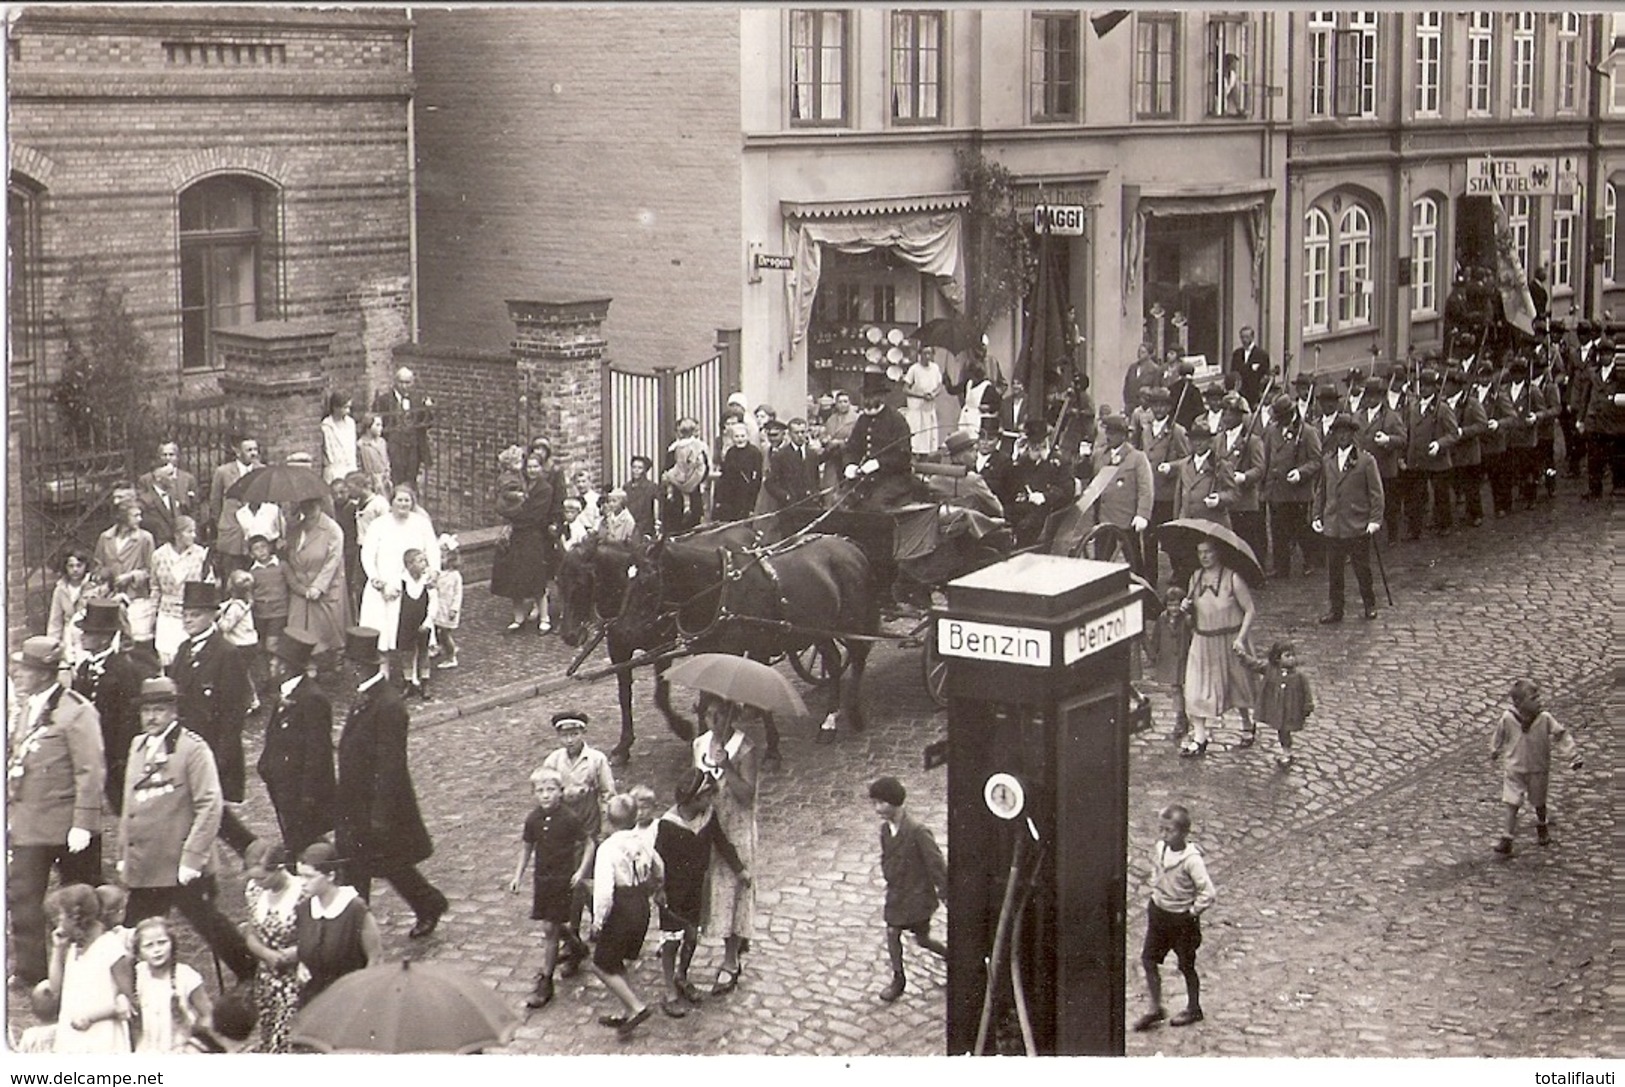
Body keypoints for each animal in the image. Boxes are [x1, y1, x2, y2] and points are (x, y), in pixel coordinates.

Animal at [555, 523, 884, 763]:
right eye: (558, 580)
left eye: (582, 582)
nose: (569, 635)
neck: (716, 589)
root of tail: (849, 544)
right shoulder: (630, 650)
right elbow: (633, 697)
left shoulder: (676, 646)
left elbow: (670, 696)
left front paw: (769, 748)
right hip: (819, 629)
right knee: (832, 659)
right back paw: (828, 719)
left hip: (850, 623)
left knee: (858, 655)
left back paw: (849, 714)